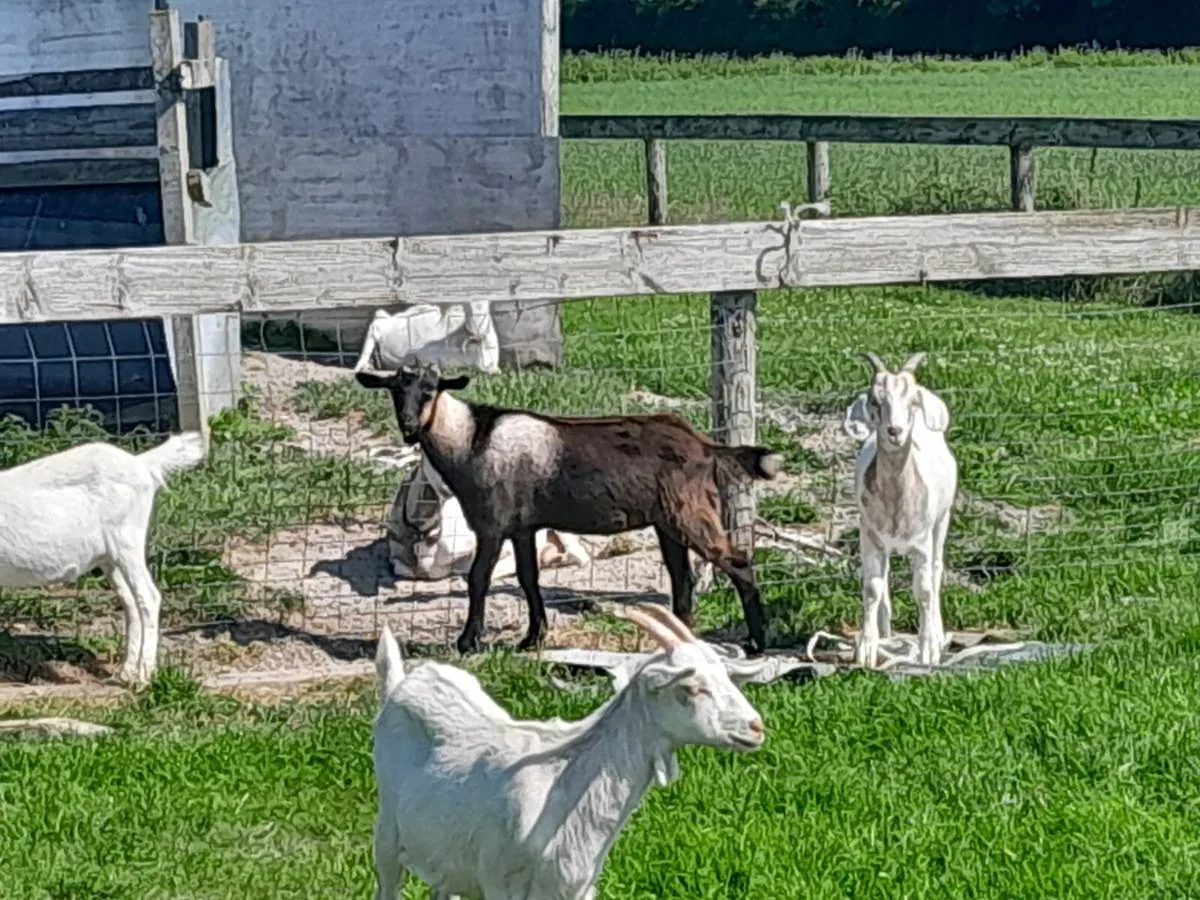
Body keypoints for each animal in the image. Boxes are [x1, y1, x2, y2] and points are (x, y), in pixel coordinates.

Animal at [0, 432, 208, 686]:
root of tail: (141, 462)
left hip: (126, 540)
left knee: (148, 597)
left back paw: (143, 676)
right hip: (110, 558)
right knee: (130, 602)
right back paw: (127, 671)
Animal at [371, 602, 768, 900]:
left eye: (725, 676)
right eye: (691, 688)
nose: (756, 727)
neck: (564, 787)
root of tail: (401, 683)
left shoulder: (576, 887)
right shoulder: (500, 882)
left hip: (444, 857)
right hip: (387, 837)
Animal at [843, 351, 958, 668]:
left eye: (913, 400)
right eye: (874, 400)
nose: (895, 431)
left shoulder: (922, 543)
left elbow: (925, 590)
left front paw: (928, 649)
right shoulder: (869, 535)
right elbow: (872, 587)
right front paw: (867, 648)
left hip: (941, 522)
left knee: (937, 571)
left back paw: (938, 634)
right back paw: (885, 632)